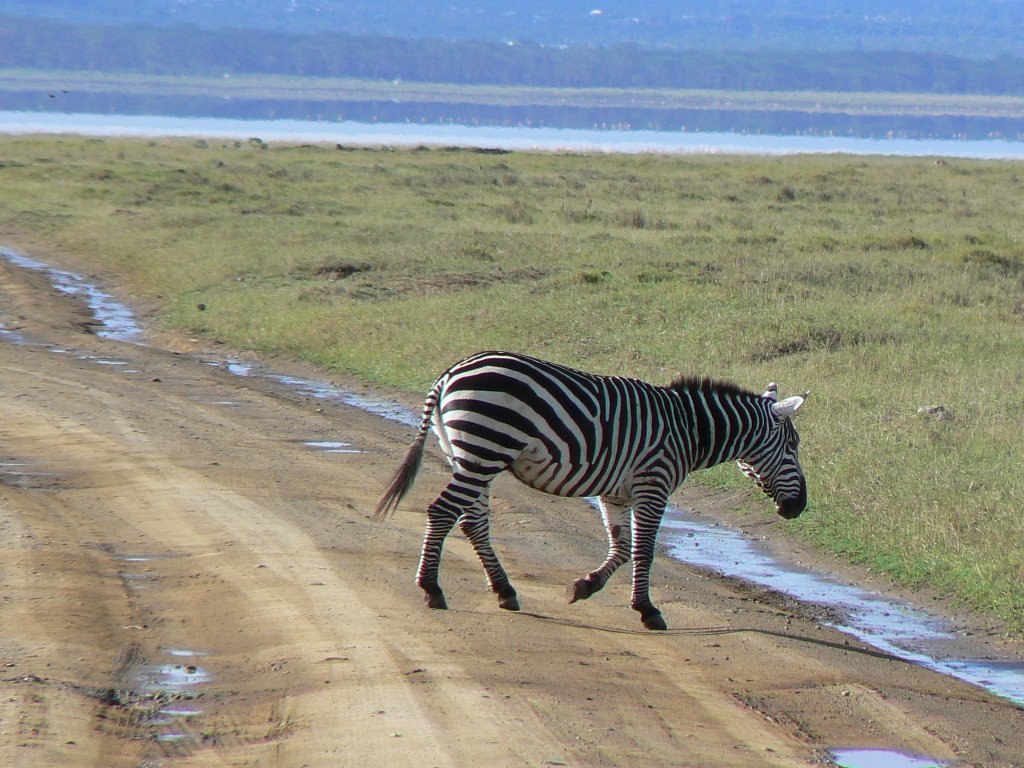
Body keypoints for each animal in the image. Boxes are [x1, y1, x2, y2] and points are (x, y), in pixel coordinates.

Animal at [376, 354, 806, 630]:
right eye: (793, 445)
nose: (799, 508)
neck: (689, 429)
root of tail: (449, 374)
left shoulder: (616, 492)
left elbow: (622, 548)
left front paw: (584, 587)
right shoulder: (654, 483)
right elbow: (644, 551)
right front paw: (648, 611)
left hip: (469, 456)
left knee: (473, 522)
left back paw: (504, 591)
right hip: (486, 448)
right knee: (442, 512)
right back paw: (432, 589)